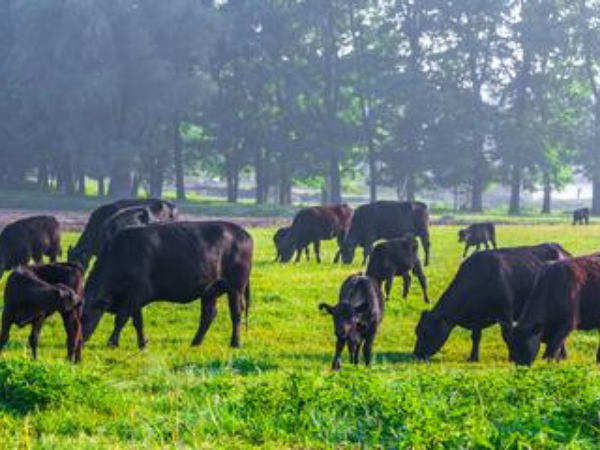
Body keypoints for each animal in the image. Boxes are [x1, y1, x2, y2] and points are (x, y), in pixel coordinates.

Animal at [82, 221, 253, 348]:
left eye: (84, 315)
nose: (80, 340)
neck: (123, 254)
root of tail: (243, 233)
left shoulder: (139, 293)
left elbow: (121, 317)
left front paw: (112, 342)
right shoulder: (134, 298)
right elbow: (137, 321)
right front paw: (142, 343)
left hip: (235, 288)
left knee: (236, 313)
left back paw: (235, 343)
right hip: (210, 291)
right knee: (208, 315)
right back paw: (195, 343)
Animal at [414, 243, 568, 362]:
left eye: (427, 332)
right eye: (417, 331)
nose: (417, 354)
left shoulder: (505, 313)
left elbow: (507, 335)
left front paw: (511, 357)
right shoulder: (476, 318)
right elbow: (476, 337)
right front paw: (473, 357)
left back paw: (561, 356)